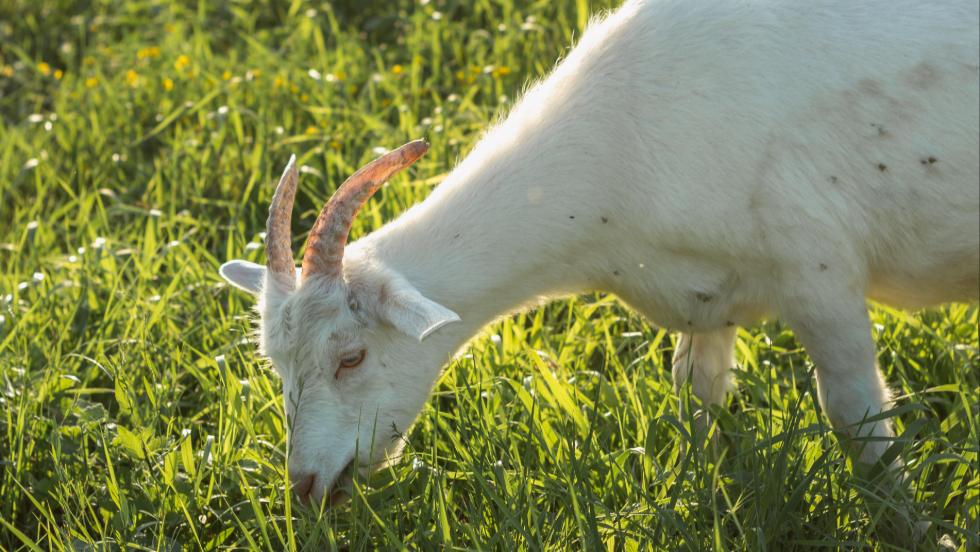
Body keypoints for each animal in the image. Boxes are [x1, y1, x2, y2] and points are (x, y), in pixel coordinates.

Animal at [222, 0, 980, 504]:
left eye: (351, 358)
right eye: (275, 363)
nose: (306, 485)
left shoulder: (818, 272)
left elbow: (858, 419)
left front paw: (911, 525)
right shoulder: (705, 299)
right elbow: (696, 399)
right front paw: (709, 501)